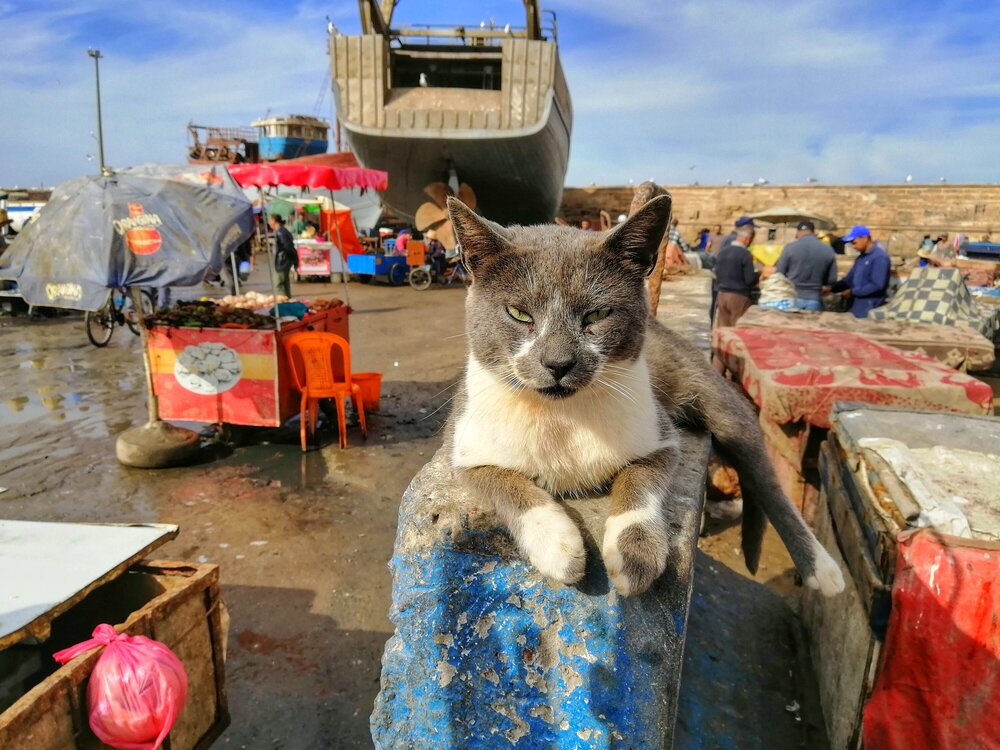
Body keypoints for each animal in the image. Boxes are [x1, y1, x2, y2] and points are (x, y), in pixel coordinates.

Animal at [442, 194, 840, 600]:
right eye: (519, 313)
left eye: (597, 314)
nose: (558, 362)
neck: (563, 416)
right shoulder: (463, 450)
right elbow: (507, 484)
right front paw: (556, 543)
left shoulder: (661, 439)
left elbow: (640, 483)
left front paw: (633, 553)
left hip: (719, 402)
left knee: (764, 477)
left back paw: (821, 569)